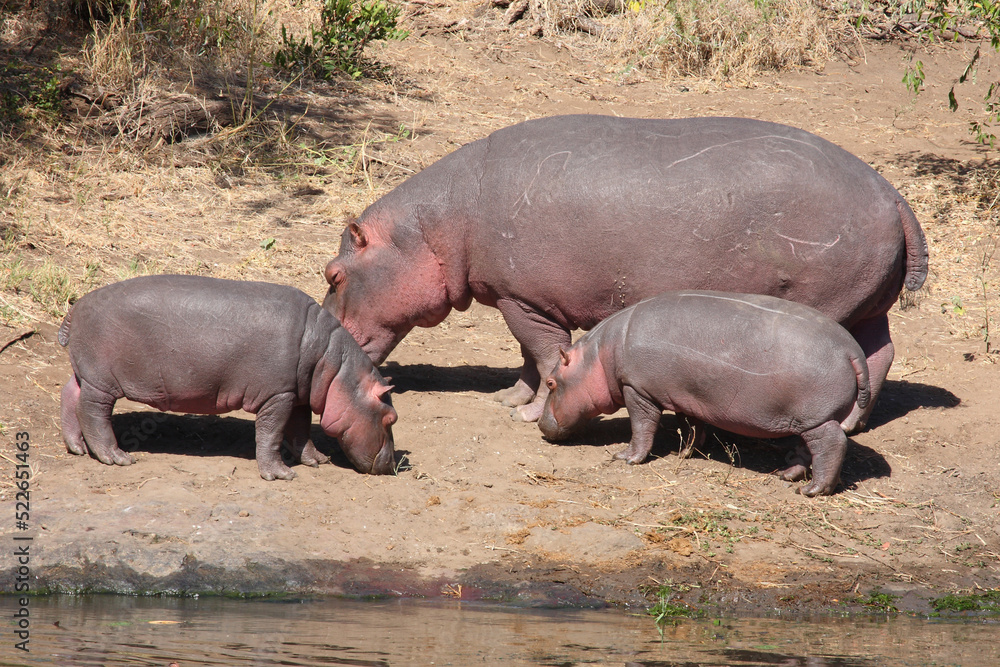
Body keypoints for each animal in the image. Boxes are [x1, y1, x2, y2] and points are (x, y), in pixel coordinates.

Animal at [58, 275, 397, 480]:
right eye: (391, 418)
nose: (394, 464)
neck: (334, 366)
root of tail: (76, 307)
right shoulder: (277, 396)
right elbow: (272, 434)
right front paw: (281, 475)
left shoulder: (297, 394)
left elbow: (301, 431)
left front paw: (317, 460)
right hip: (102, 382)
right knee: (92, 413)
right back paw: (117, 457)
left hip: (86, 374)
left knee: (69, 394)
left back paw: (77, 448)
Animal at [322, 115, 927, 427]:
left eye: (332, 274)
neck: (434, 227)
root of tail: (895, 196)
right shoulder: (523, 299)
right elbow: (529, 357)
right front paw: (508, 400)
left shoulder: (525, 301)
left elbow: (546, 357)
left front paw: (529, 413)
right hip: (869, 303)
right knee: (879, 353)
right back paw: (855, 422)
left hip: (829, 303)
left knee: (855, 355)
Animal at [538, 291, 870, 496]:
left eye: (551, 383)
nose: (540, 425)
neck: (599, 356)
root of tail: (852, 350)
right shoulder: (686, 394)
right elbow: (692, 426)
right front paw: (685, 453)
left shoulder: (638, 389)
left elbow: (642, 426)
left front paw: (626, 458)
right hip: (805, 419)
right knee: (807, 449)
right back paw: (785, 475)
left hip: (816, 418)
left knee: (832, 445)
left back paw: (812, 491)